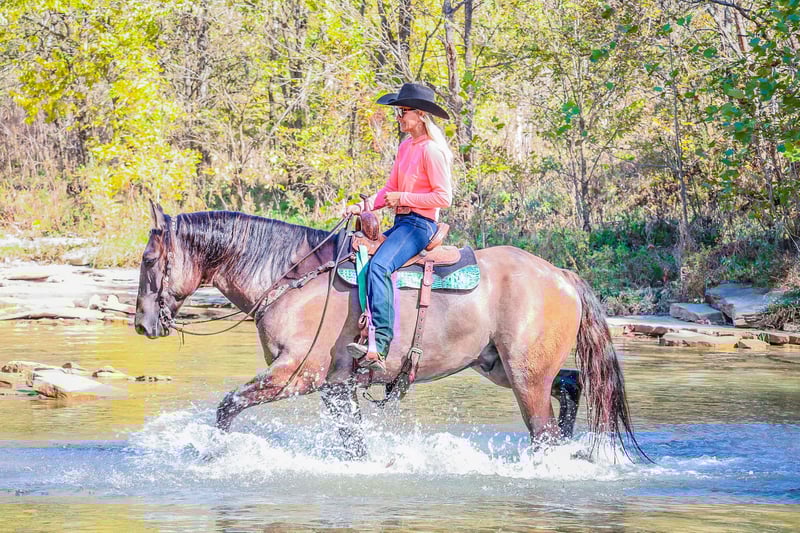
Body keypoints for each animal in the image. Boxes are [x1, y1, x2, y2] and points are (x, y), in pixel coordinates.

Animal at [134, 202, 647, 460]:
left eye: (147, 259)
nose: (142, 324)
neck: (291, 276)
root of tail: (561, 275)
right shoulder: (337, 387)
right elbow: (353, 443)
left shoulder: (295, 376)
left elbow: (227, 407)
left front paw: (214, 455)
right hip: (502, 367)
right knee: (572, 384)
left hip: (525, 377)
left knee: (543, 427)